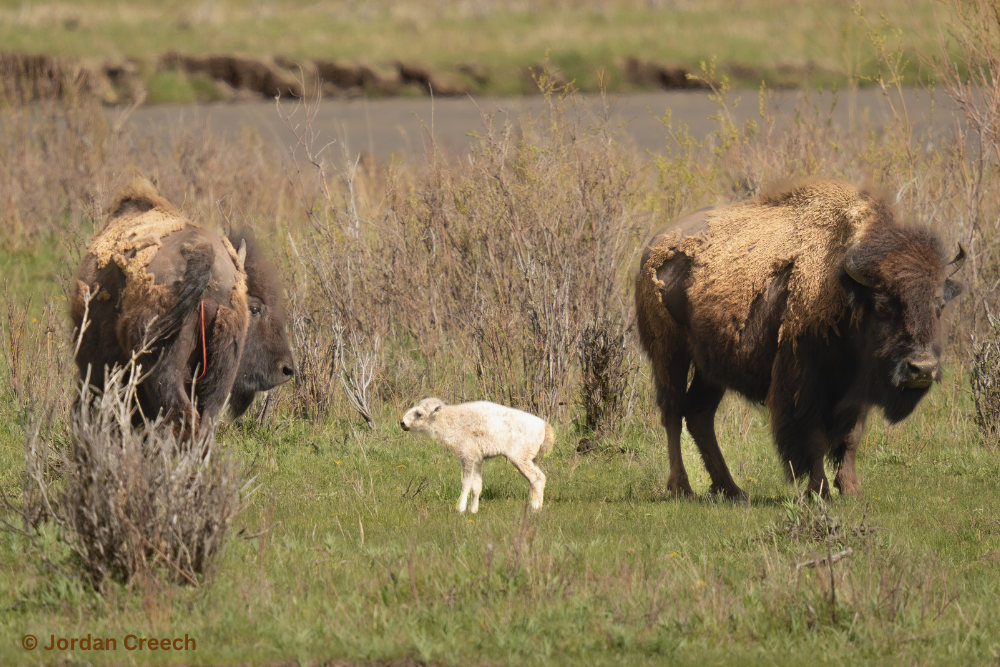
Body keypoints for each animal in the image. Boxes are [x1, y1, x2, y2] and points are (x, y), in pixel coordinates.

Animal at [398, 400, 556, 516]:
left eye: (419, 414)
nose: (402, 423)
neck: (450, 420)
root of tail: (545, 427)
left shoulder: (467, 456)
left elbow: (465, 484)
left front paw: (461, 510)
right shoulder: (478, 459)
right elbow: (476, 486)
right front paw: (474, 510)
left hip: (520, 458)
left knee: (536, 478)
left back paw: (534, 509)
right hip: (531, 459)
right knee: (540, 478)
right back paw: (538, 507)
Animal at [636, 180, 964, 498]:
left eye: (939, 306)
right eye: (883, 305)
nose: (922, 369)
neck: (847, 289)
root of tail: (653, 246)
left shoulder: (855, 390)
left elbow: (851, 438)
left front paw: (852, 490)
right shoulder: (804, 384)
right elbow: (814, 437)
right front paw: (819, 491)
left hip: (712, 368)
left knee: (699, 415)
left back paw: (732, 489)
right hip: (670, 354)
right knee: (673, 412)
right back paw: (682, 488)